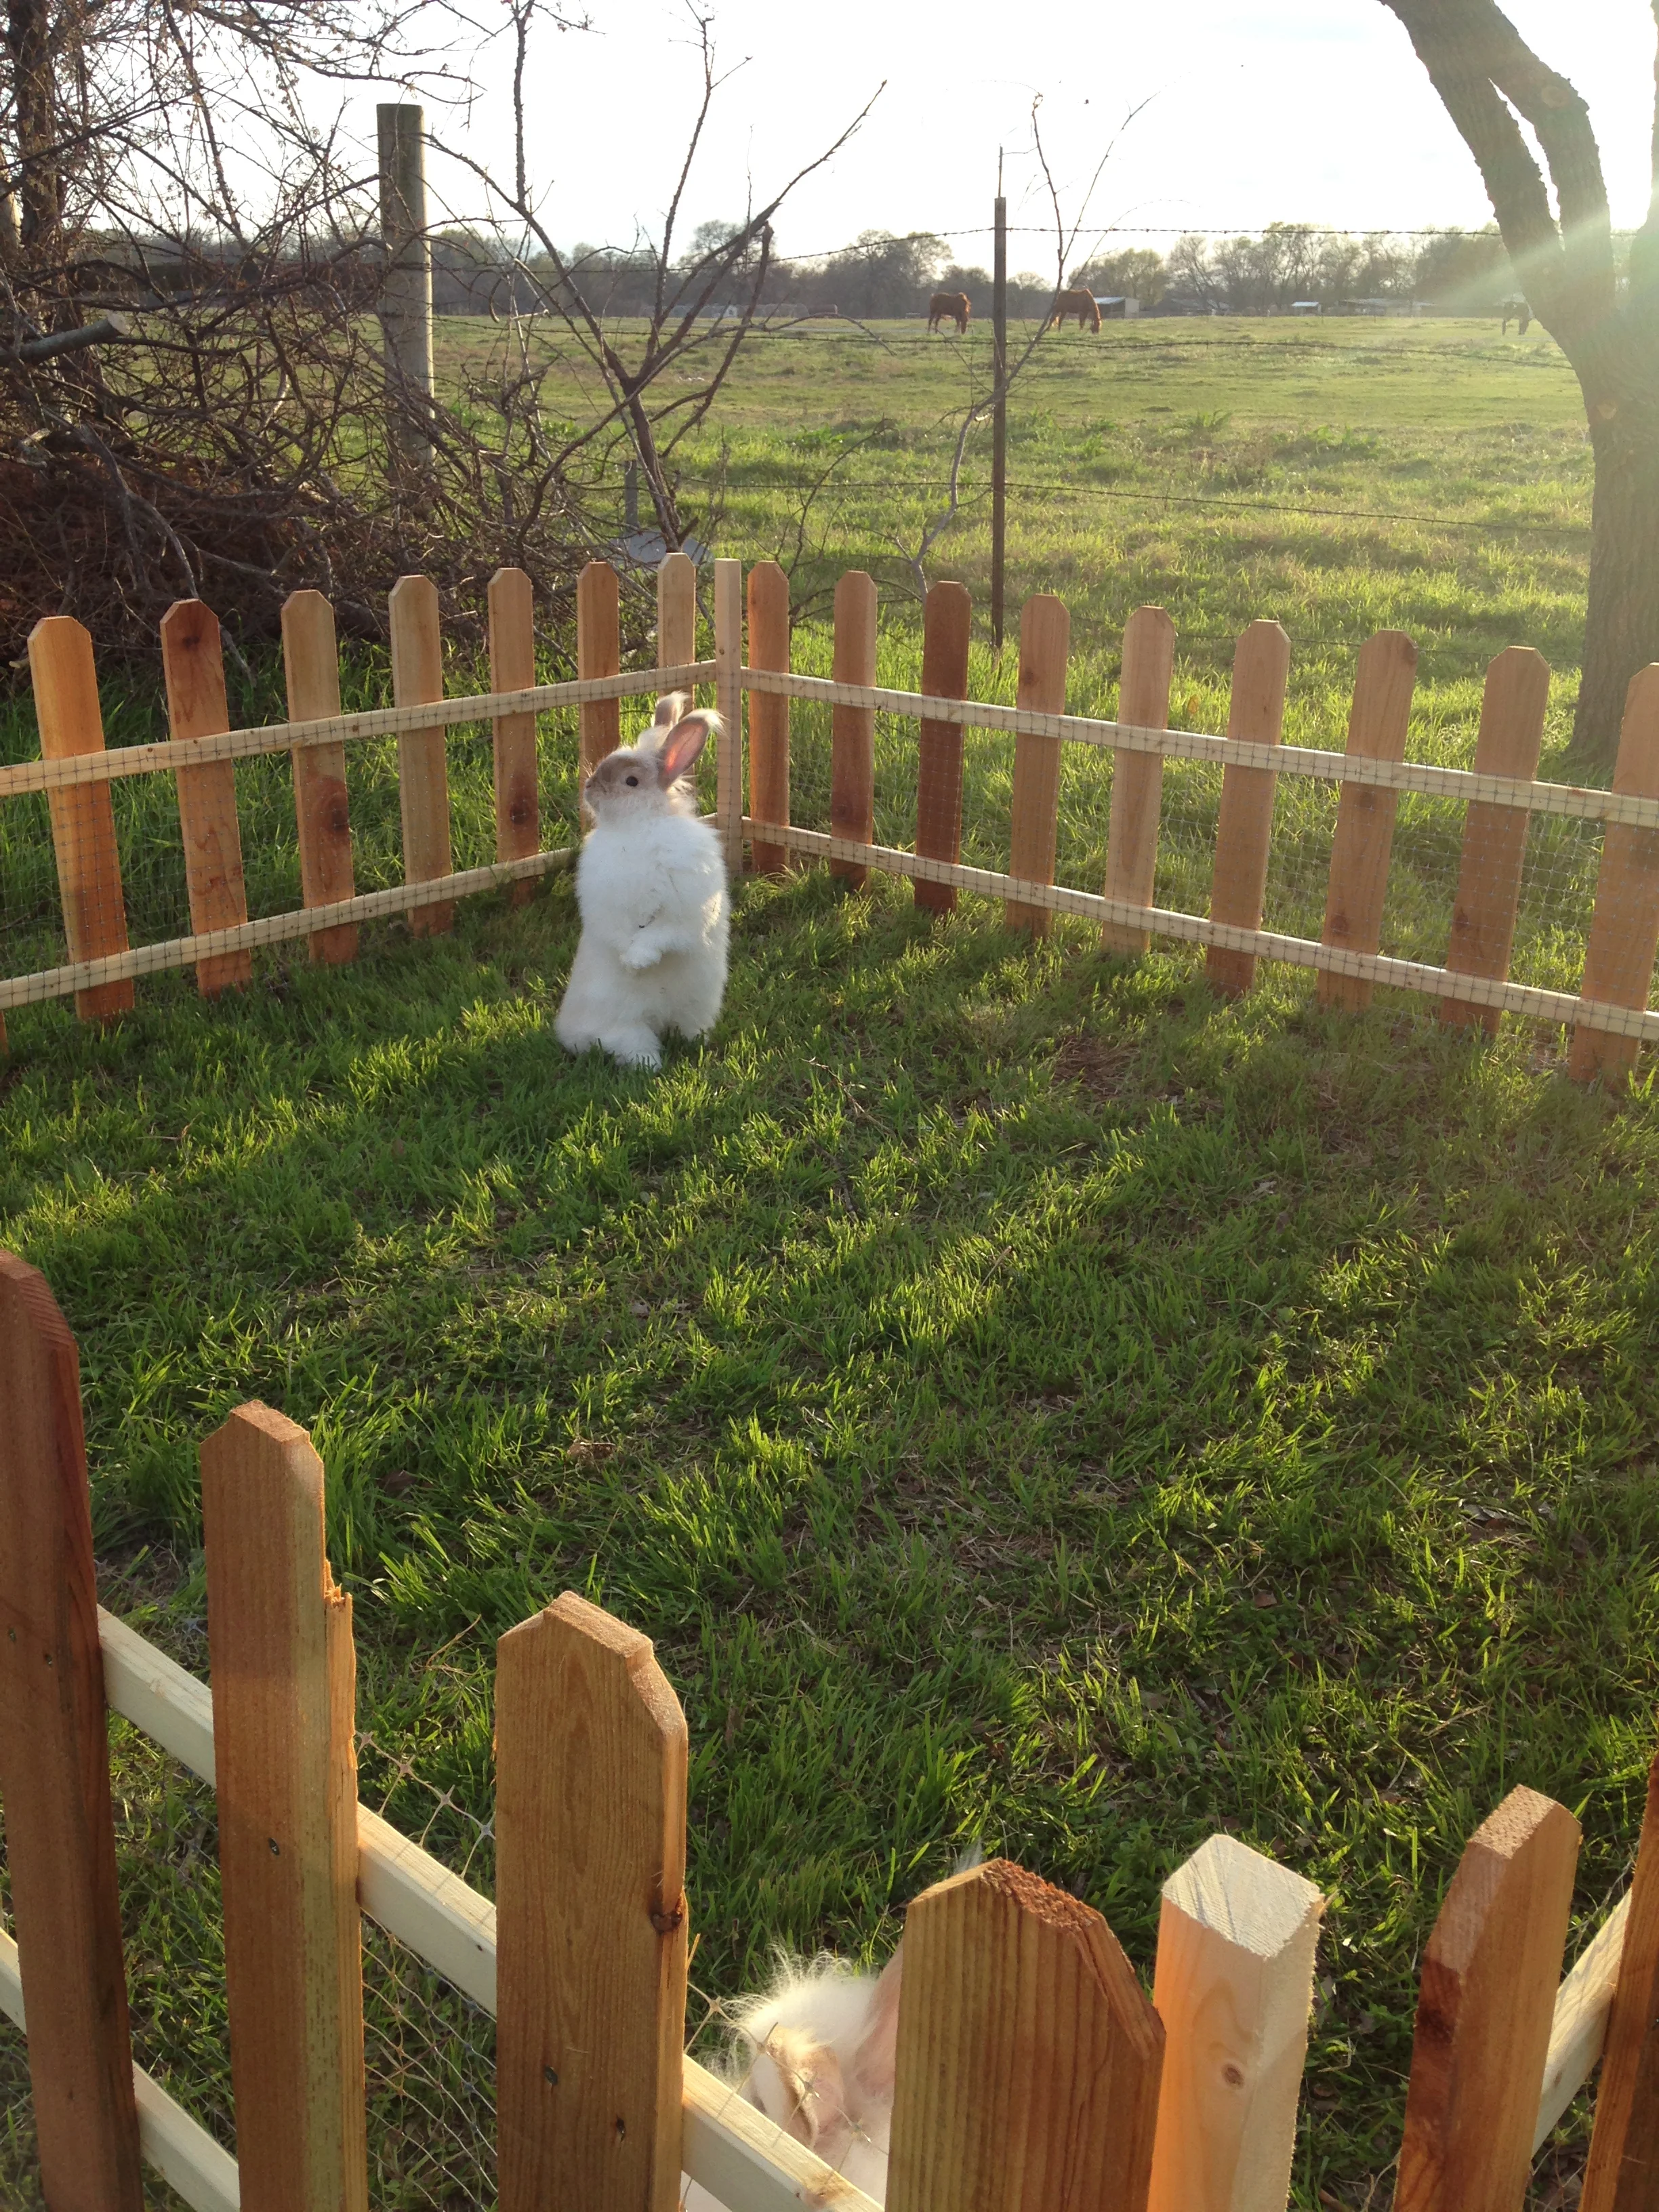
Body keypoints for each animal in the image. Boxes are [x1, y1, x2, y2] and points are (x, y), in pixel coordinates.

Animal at [554, 692, 730, 1071]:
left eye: (631, 782)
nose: (588, 787)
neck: (639, 828)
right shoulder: (607, 907)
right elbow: (622, 933)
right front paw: (632, 964)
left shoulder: (683, 911)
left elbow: (660, 934)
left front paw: (639, 960)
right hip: (623, 1023)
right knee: (628, 1044)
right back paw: (649, 1065)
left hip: (696, 1009)